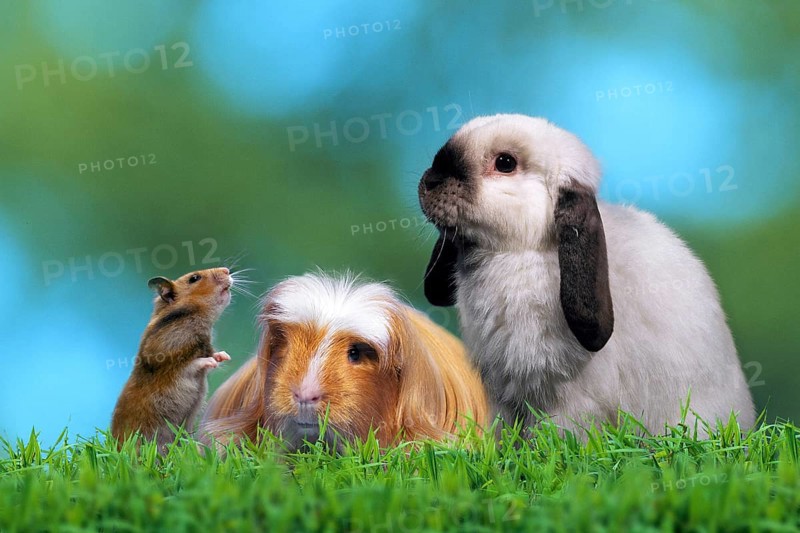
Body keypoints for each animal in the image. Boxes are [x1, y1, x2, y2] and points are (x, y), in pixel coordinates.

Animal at [110, 267, 233, 451]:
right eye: (194, 278)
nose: (227, 270)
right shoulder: (165, 356)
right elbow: (193, 363)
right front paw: (211, 362)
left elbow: (211, 354)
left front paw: (225, 356)